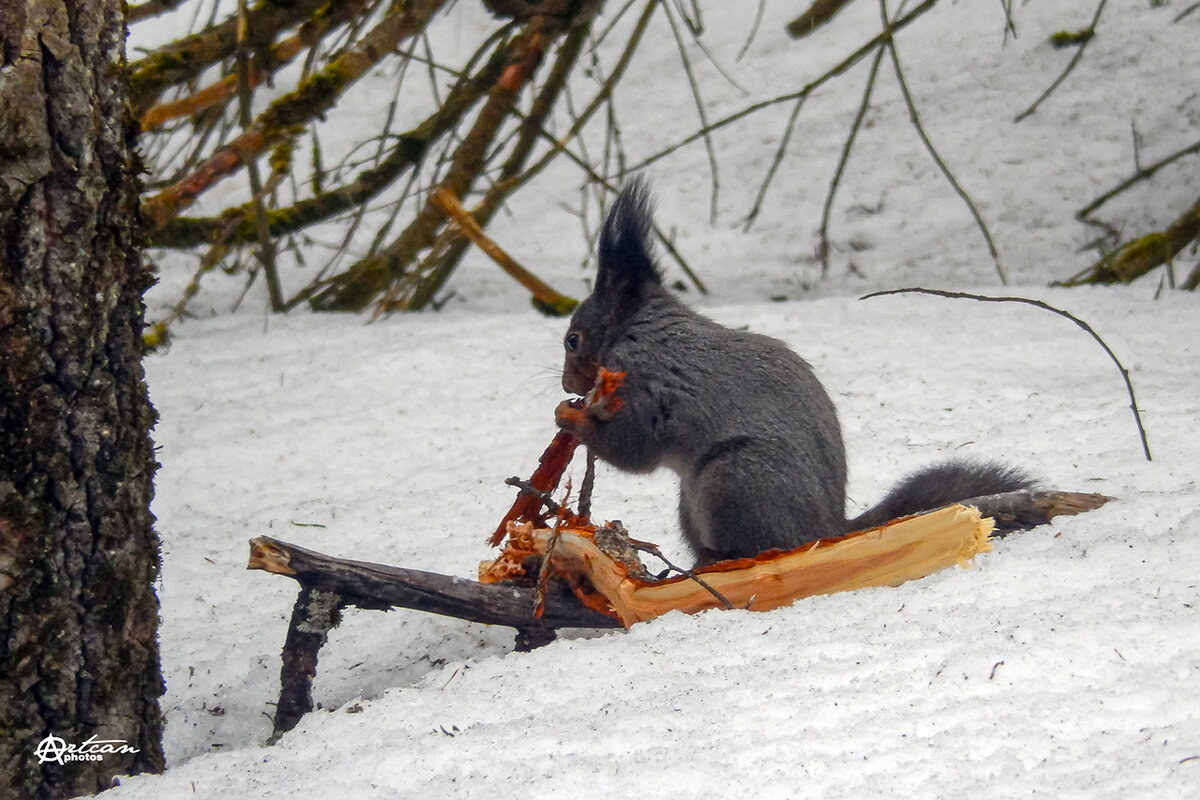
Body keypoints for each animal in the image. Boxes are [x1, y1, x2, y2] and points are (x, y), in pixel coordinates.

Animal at [552, 179, 1032, 568]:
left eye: (573, 340)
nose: (566, 383)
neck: (639, 332)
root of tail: (828, 531)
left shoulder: (646, 383)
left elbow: (634, 449)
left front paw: (570, 416)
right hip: (694, 499)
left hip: (733, 479)